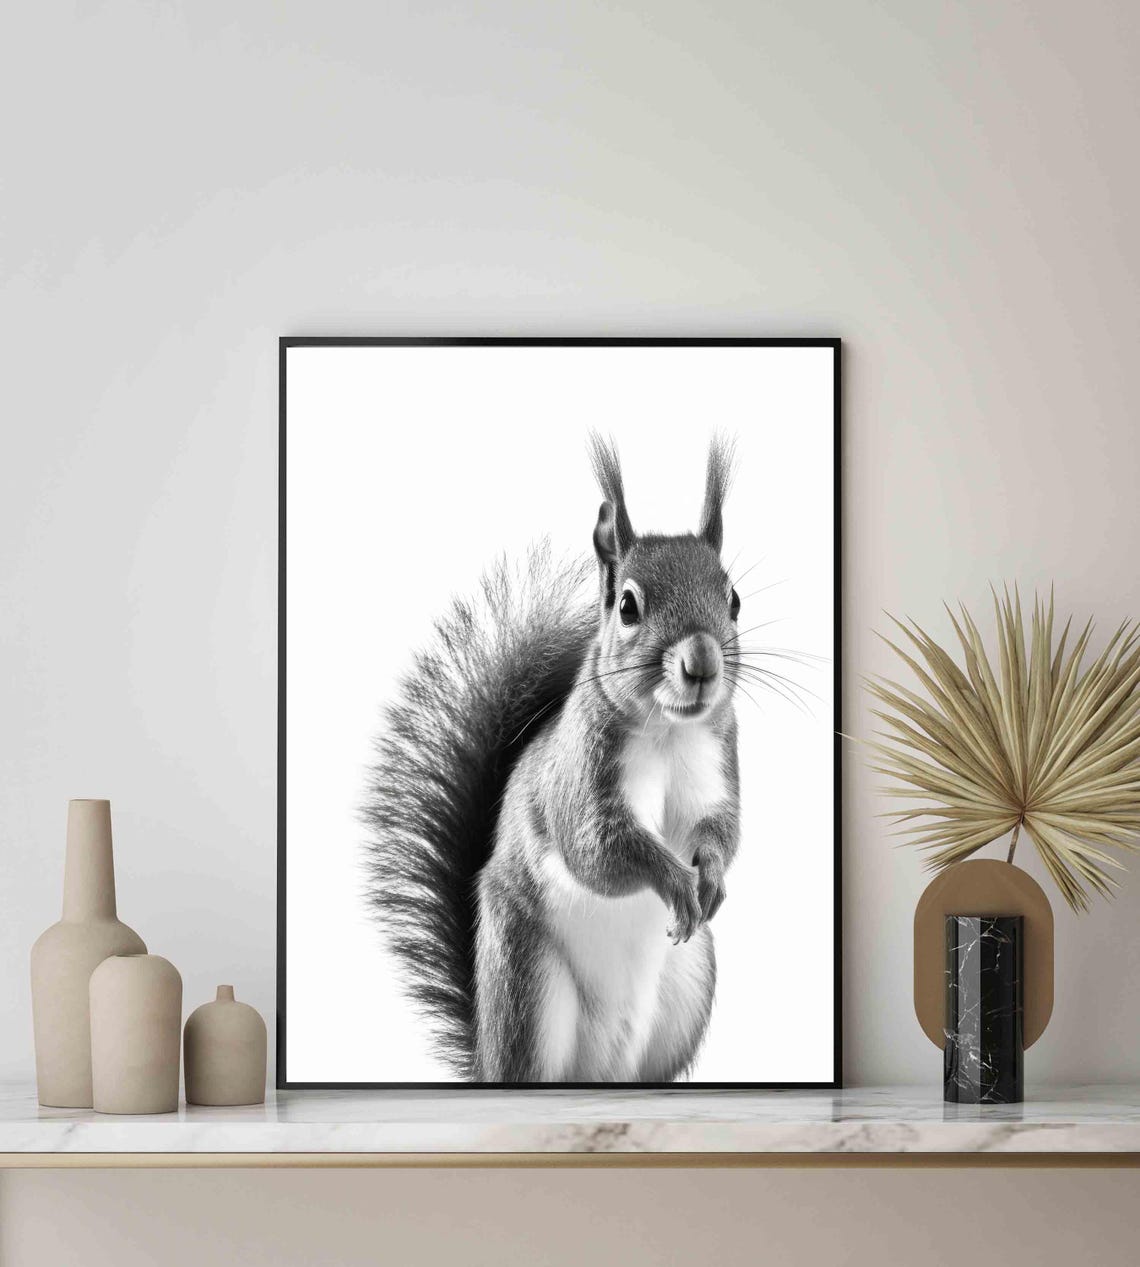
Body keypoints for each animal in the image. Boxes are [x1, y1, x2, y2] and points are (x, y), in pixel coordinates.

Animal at [364, 436, 742, 1082]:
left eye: (734, 599)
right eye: (628, 606)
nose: (702, 662)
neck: (669, 733)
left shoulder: (719, 762)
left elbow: (722, 830)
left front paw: (711, 877)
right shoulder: (581, 774)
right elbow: (599, 848)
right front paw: (673, 878)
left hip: (688, 990)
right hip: (527, 983)